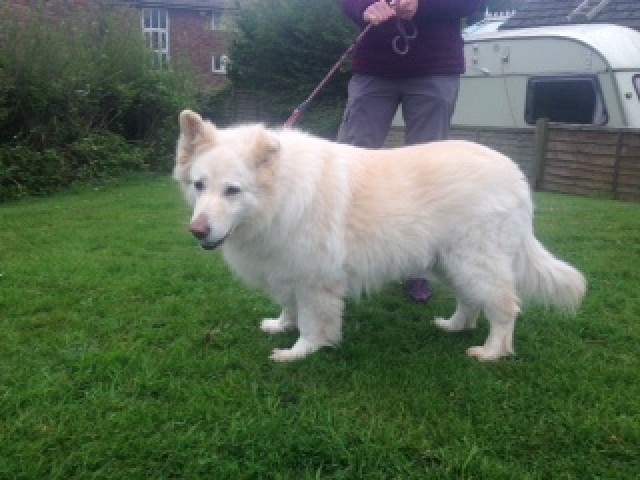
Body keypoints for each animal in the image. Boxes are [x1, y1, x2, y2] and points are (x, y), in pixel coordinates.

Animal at [174, 110, 584, 362]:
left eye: (232, 191)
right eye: (199, 185)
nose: (198, 231)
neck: (283, 196)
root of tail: (515, 173)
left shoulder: (314, 280)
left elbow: (311, 322)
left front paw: (299, 352)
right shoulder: (288, 270)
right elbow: (289, 307)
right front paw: (281, 326)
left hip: (474, 263)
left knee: (505, 308)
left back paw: (491, 352)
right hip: (450, 264)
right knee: (470, 304)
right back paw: (453, 327)